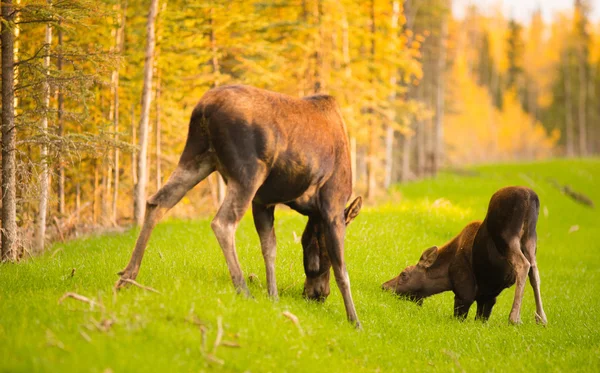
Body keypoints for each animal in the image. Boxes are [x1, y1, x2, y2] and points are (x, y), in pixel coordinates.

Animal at [115, 84, 364, 326]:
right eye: (321, 250)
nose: (317, 294)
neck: (314, 214)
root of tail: (204, 108)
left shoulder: (263, 202)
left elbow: (269, 248)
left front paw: (273, 298)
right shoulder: (333, 205)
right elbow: (343, 270)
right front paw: (354, 321)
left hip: (197, 157)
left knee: (157, 202)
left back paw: (128, 276)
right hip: (248, 173)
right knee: (222, 223)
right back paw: (243, 289)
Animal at [384, 186, 548, 326]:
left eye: (404, 274)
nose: (384, 286)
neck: (446, 277)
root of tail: (529, 196)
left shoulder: (464, 293)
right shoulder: (488, 297)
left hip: (506, 236)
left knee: (523, 264)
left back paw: (514, 318)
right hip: (531, 238)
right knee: (534, 270)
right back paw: (541, 319)